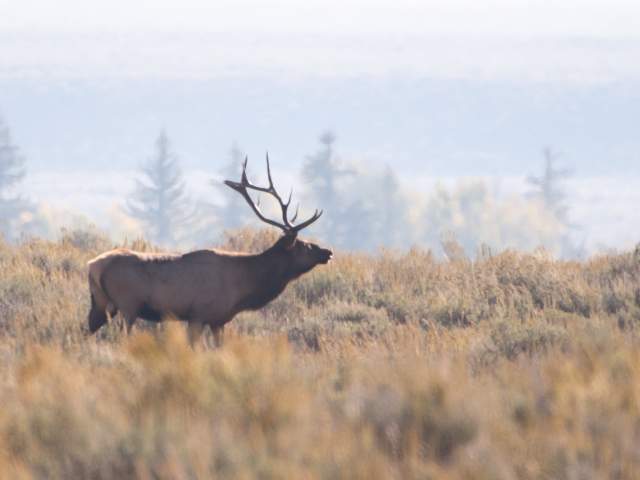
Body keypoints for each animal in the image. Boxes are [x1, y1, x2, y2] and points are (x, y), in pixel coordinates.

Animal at [87, 156, 332, 345]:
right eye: (304, 245)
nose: (327, 252)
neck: (244, 285)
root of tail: (93, 266)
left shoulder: (218, 320)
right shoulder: (199, 314)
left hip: (100, 304)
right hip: (128, 305)